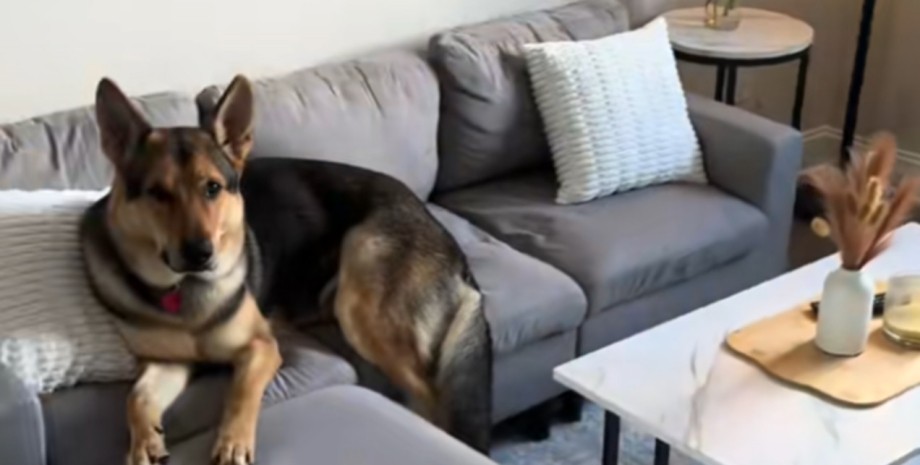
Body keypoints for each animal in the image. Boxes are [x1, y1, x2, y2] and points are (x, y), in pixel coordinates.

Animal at [79, 75, 493, 465]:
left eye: (212, 188)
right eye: (157, 194)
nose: (200, 254)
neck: (185, 292)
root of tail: (447, 238)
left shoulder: (260, 348)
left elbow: (240, 391)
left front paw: (233, 443)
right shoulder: (168, 363)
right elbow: (135, 397)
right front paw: (144, 443)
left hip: (362, 288)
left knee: (431, 395)